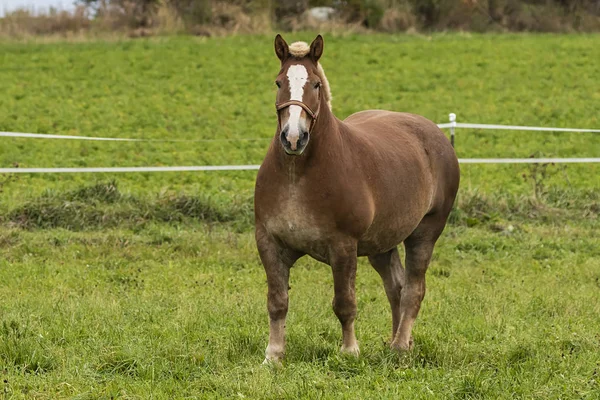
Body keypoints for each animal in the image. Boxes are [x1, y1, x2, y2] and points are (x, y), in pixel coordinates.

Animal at [253, 34, 460, 364]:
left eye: (315, 84)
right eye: (278, 82)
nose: (293, 138)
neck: (296, 176)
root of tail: (436, 135)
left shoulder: (343, 247)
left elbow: (344, 303)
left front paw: (349, 351)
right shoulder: (269, 243)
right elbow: (277, 302)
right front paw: (273, 356)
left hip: (424, 233)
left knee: (413, 290)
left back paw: (401, 346)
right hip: (382, 245)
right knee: (396, 288)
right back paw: (395, 342)